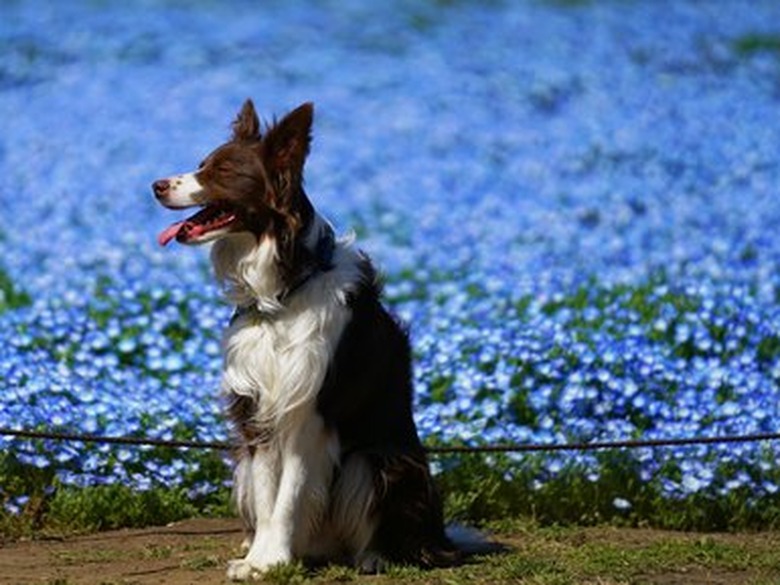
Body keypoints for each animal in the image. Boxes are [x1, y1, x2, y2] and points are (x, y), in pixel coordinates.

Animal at [152, 100, 454, 580]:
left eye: (222, 170)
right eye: (201, 164)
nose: (156, 185)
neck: (284, 288)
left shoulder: (308, 410)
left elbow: (289, 496)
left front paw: (273, 560)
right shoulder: (257, 407)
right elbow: (266, 495)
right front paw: (258, 560)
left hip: (380, 461)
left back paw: (374, 556)